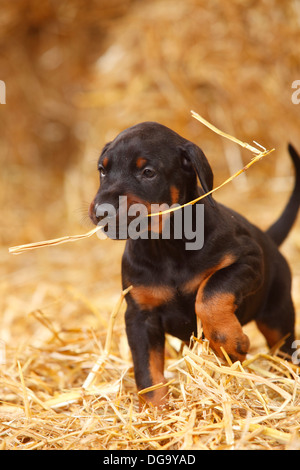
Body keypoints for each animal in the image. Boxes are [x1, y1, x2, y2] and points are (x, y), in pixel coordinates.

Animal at [89, 122, 300, 408]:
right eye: (103, 170)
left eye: (148, 172)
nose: (101, 211)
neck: (166, 245)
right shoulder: (139, 315)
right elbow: (147, 372)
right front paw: (156, 412)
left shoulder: (248, 260)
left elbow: (210, 294)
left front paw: (230, 343)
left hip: (277, 313)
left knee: (284, 345)